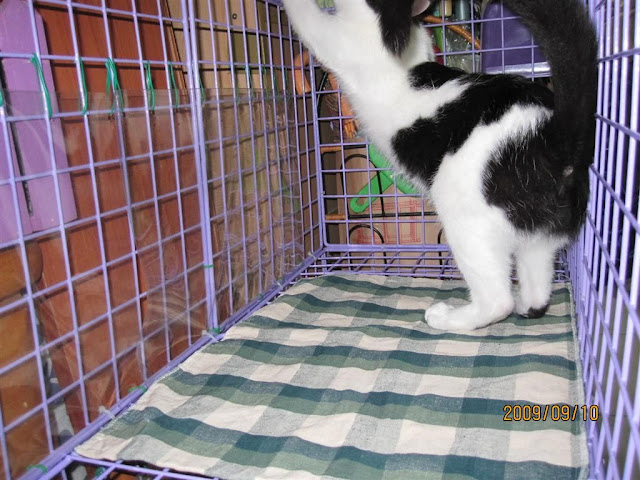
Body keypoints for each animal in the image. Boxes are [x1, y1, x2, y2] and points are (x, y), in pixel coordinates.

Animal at [281, 0, 598, 330]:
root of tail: (553, 140)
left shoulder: (345, 40)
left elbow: (312, 23)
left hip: (462, 208)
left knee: (497, 301)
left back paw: (449, 318)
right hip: (541, 236)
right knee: (537, 287)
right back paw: (527, 304)